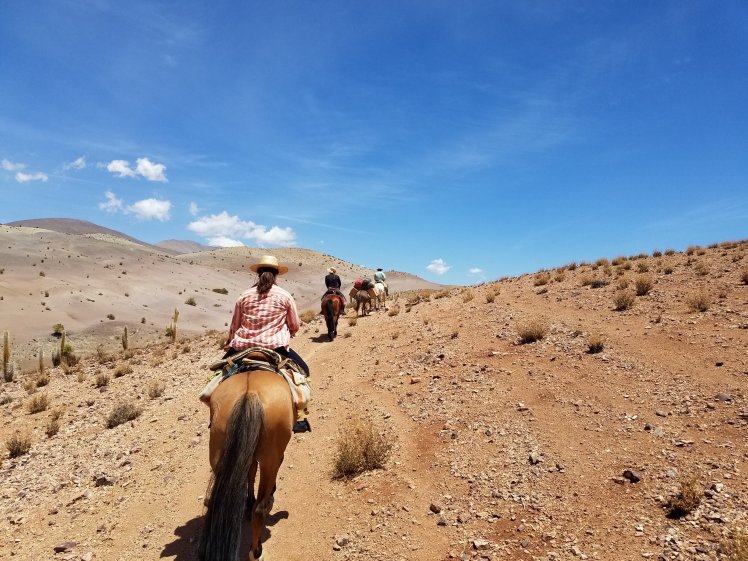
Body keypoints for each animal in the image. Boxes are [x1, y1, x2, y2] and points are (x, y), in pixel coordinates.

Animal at [199, 370, 293, 561]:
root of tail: (249, 395)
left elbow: (250, 472)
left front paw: (249, 501)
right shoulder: (274, 456)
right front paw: (269, 493)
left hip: (218, 451)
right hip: (270, 459)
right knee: (259, 511)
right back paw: (256, 551)